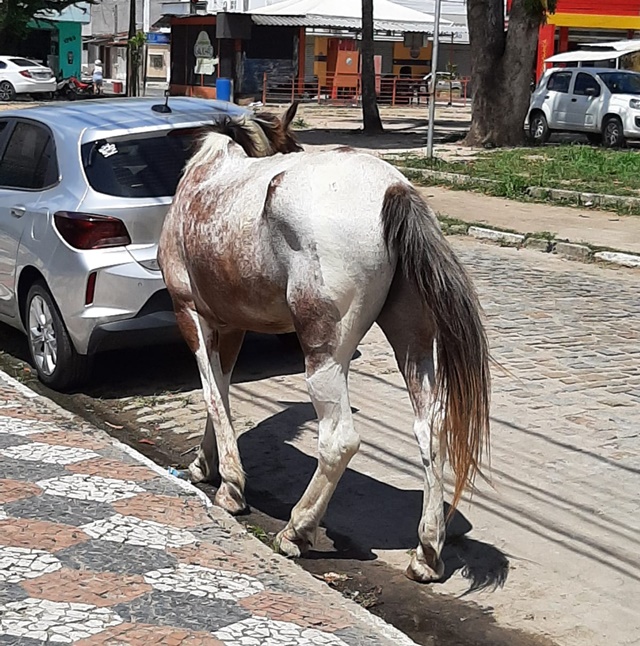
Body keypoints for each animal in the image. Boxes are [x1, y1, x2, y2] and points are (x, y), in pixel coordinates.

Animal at [159, 105, 490, 584]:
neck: (209, 176)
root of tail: (393, 190)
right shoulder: (232, 325)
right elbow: (220, 389)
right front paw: (208, 464)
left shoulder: (190, 313)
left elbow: (211, 393)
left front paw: (231, 487)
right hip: (413, 344)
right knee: (430, 430)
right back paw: (426, 554)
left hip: (324, 357)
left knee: (339, 441)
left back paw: (297, 529)